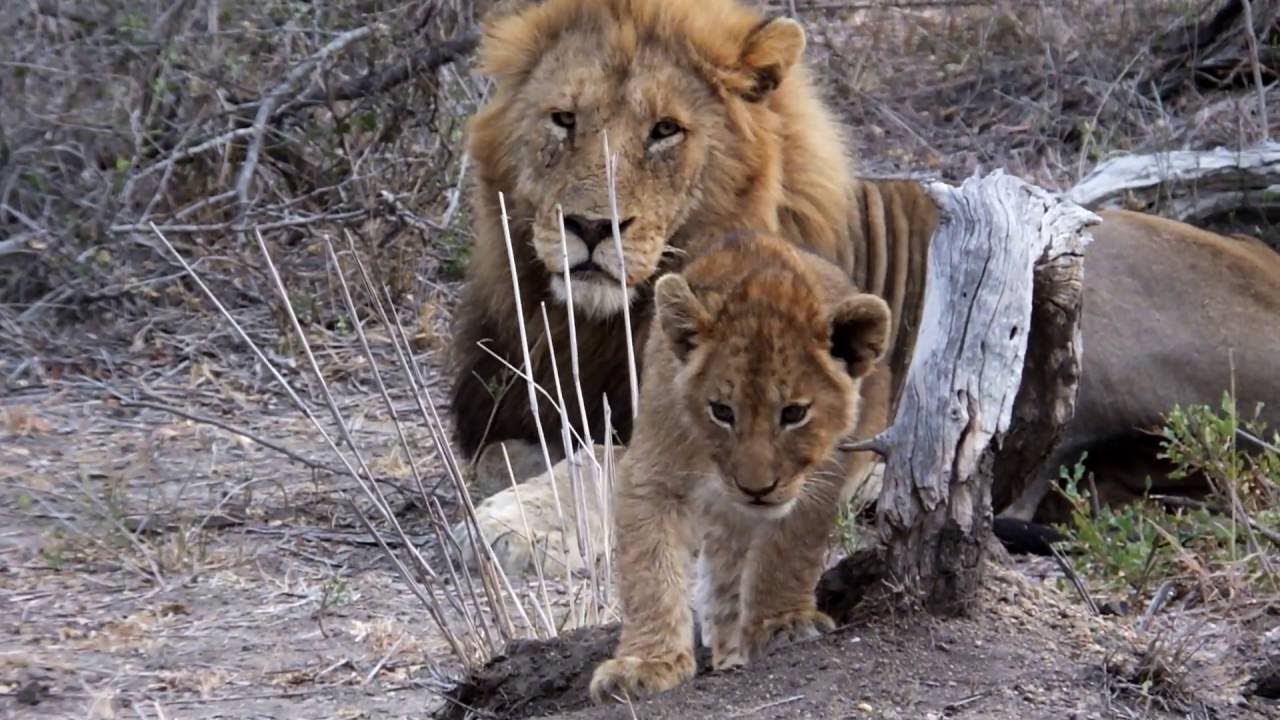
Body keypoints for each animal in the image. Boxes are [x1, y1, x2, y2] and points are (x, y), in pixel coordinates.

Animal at [587, 230, 892, 703]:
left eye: (794, 413)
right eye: (722, 411)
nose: (756, 489)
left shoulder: (819, 477)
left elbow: (788, 551)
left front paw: (781, 622)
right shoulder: (651, 472)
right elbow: (649, 571)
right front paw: (647, 663)